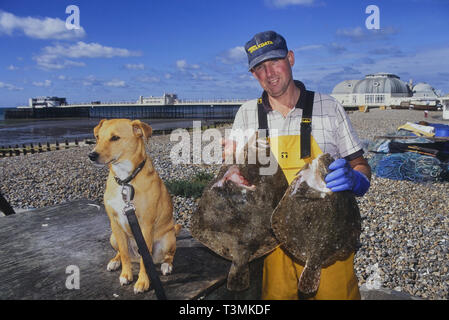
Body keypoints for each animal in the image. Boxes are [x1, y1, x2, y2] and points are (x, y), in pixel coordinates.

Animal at [87, 119, 180, 294]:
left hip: (168, 239)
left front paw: (142, 282)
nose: (91, 155)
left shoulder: (146, 226)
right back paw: (115, 261)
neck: (125, 180)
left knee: (168, 255)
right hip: (113, 237)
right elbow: (124, 254)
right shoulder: (115, 224)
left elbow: (145, 259)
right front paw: (126, 275)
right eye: (97, 137)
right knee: (122, 252)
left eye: (115, 138)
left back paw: (166, 265)